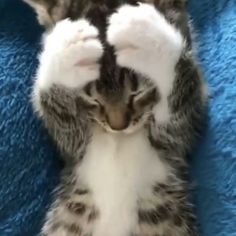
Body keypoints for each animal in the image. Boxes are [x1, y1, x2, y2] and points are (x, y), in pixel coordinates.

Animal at [24, 0, 206, 236]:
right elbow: (63, 125)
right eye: (92, 98)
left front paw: (151, 39)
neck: (116, 138)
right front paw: (63, 52)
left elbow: (180, 117)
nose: (118, 125)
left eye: (138, 92)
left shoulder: (178, 137)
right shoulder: (74, 150)